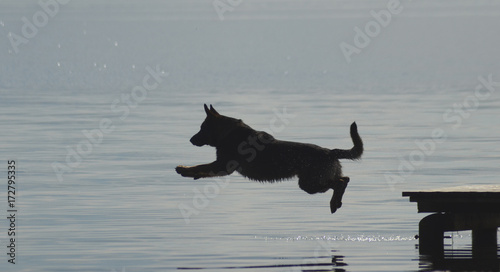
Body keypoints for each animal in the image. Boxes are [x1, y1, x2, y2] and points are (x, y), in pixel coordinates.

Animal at [176, 104, 364, 212]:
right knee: (345, 179)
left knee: (341, 182)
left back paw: (334, 203)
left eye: (202, 128)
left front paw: (184, 170)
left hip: (309, 184)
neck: (228, 131)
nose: (191, 140)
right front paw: (191, 173)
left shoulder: (222, 165)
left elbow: (200, 166)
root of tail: (330, 152)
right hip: (314, 182)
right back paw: (336, 203)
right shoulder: (220, 166)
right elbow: (203, 169)